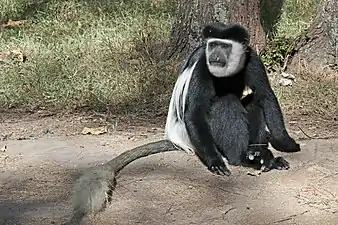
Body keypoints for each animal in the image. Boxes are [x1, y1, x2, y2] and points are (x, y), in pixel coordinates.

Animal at [165, 21, 300, 176]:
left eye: (224, 46)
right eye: (213, 45)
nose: (215, 55)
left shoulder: (252, 59)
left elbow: (265, 94)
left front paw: (286, 143)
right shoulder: (202, 66)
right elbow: (195, 112)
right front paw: (216, 162)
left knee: (254, 102)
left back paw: (259, 154)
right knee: (226, 103)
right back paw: (243, 159)